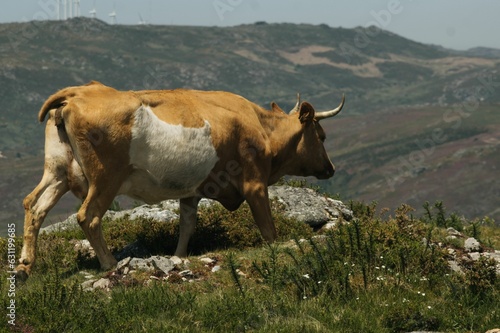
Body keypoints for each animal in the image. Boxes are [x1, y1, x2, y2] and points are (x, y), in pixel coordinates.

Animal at [15, 80, 344, 278]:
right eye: (321, 135)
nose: (330, 169)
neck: (260, 127)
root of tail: (79, 91)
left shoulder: (191, 192)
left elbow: (187, 226)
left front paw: (179, 256)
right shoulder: (255, 183)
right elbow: (268, 227)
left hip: (58, 171)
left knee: (34, 205)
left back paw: (24, 266)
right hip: (106, 178)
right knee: (88, 216)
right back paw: (110, 264)